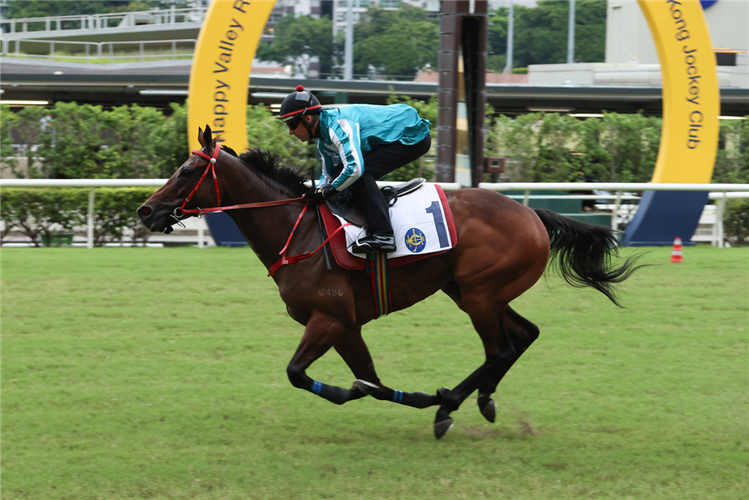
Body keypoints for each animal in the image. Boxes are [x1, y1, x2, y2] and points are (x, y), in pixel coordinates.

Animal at [137, 127, 640, 440]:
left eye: (186, 171)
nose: (145, 211)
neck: (298, 231)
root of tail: (532, 213)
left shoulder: (329, 318)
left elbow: (302, 373)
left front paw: (416, 397)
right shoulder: (346, 324)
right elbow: (369, 379)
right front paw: (395, 394)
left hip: (481, 293)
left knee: (499, 348)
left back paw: (448, 405)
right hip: (470, 291)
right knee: (523, 335)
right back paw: (480, 399)